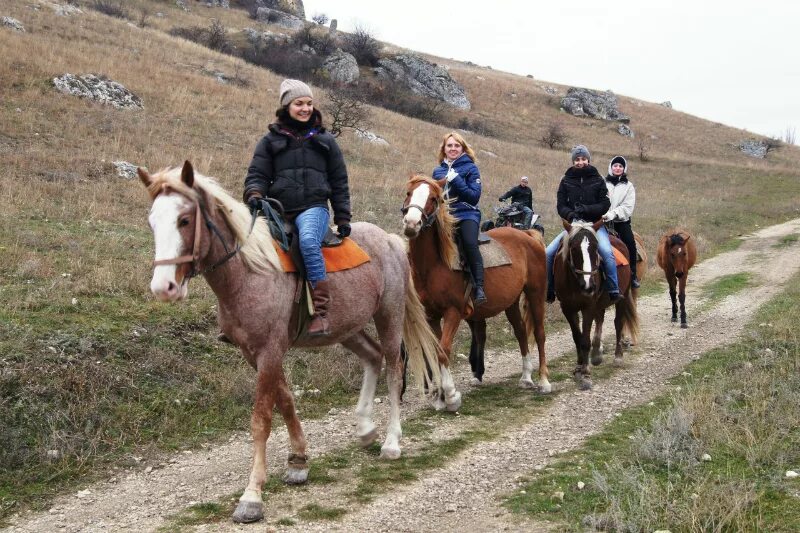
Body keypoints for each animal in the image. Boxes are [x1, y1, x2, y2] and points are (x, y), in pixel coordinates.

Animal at [141, 163, 446, 524]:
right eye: (152, 221)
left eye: (185, 220)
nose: (164, 287)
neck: (249, 271)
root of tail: (390, 240)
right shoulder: (256, 353)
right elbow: (285, 401)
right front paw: (299, 462)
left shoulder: (270, 350)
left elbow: (261, 419)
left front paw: (252, 496)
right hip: (347, 329)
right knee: (373, 358)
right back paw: (365, 429)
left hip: (389, 314)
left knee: (394, 370)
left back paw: (391, 443)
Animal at [400, 175, 552, 394]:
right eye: (409, 193)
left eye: (434, 198)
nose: (411, 223)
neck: (435, 264)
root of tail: (528, 235)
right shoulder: (431, 316)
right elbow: (438, 350)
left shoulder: (453, 311)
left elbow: (444, 350)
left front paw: (449, 390)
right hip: (511, 302)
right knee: (521, 332)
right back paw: (525, 377)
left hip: (535, 293)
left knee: (539, 334)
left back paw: (544, 381)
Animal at [552, 218, 640, 388]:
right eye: (573, 248)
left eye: (596, 248)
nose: (588, 285)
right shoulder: (567, 308)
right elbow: (577, 337)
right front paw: (579, 367)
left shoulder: (588, 306)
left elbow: (585, 340)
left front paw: (585, 373)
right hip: (600, 303)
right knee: (600, 319)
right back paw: (597, 354)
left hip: (622, 297)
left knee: (618, 323)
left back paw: (618, 357)